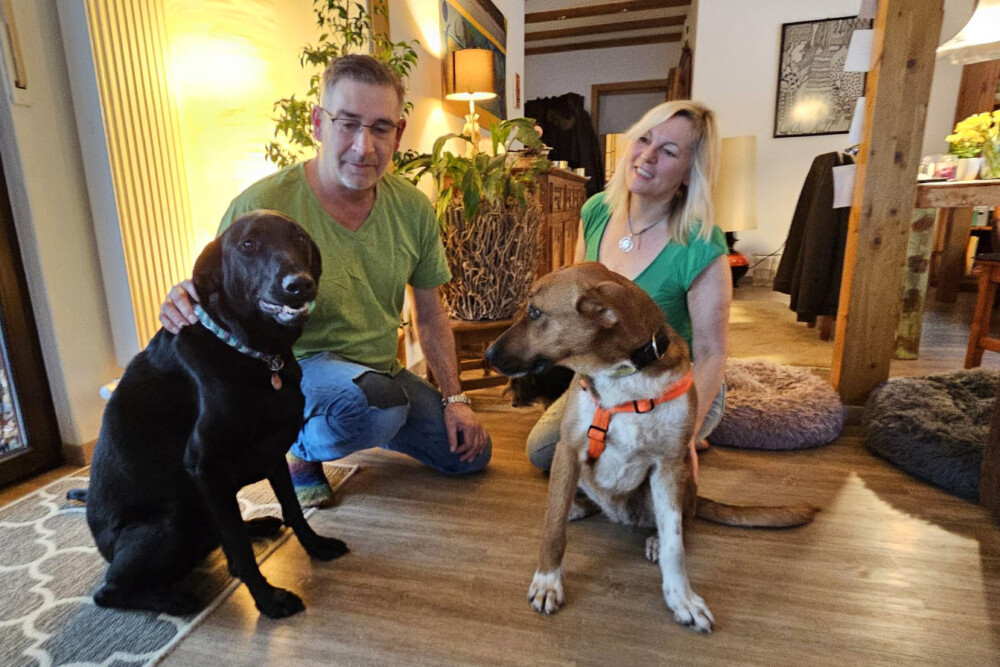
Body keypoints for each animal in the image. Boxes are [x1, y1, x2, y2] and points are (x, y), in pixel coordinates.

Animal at [80, 210, 347, 619]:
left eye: (299, 239)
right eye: (248, 245)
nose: (298, 285)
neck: (255, 354)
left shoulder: (272, 452)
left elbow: (292, 509)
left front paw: (316, 546)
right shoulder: (206, 467)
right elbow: (239, 546)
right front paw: (269, 600)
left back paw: (259, 524)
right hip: (173, 517)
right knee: (109, 590)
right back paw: (176, 599)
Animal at [485, 263, 816, 633]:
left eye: (535, 312)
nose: (487, 355)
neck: (624, 376)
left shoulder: (669, 464)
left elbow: (675, 544)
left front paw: (682, 598)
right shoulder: (569, 450)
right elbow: (553, 530)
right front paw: (547, 581)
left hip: (682, 477)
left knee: (684, 522)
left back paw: (652, 535)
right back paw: (577, 506)